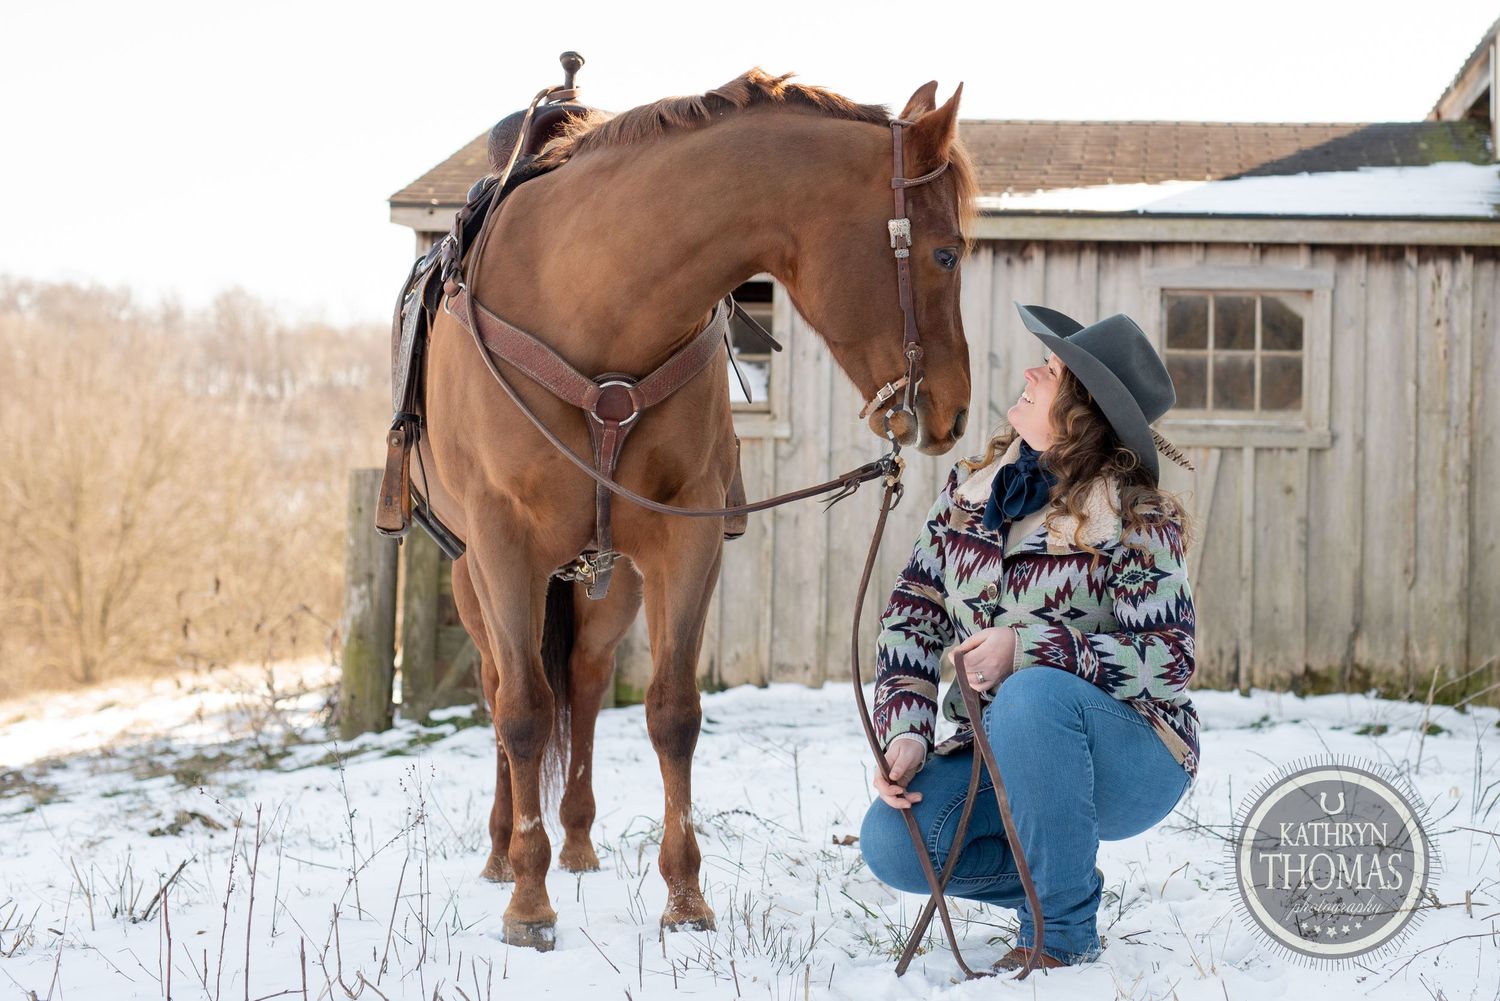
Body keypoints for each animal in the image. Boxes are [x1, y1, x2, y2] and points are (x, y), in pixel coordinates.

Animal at [412, 69, 977, 950]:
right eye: (945, 250)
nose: (954, 410)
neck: (592, 299)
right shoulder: (503, 544)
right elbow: (523, 714)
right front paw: (529, 906)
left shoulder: (686, 541)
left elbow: (672, 712)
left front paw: (684, 896)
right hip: (478, 578)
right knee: (506, 685)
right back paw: (507, 851)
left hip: (609, 581)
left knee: (583, 678)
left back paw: (576, 842)